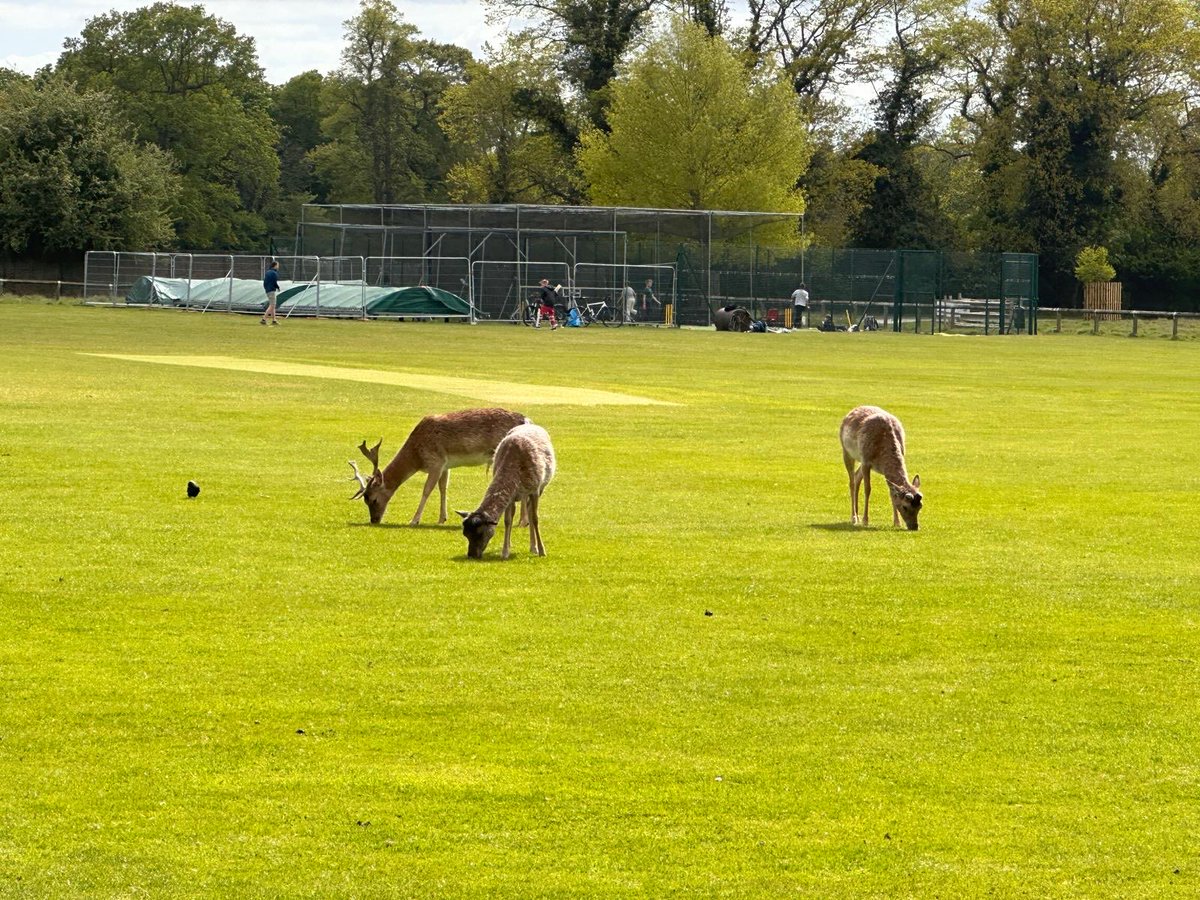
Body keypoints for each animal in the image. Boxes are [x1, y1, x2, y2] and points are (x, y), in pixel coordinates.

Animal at [350, 410, 530, 528]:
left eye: (373, 499)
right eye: (364, 499)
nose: (374, 520)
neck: (417, 456)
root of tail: (527, 420)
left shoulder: (435, 461)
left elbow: (427, 490)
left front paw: (414, 520)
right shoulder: (445, 465)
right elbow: (443, 488)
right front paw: (442, 518)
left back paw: (522, 522)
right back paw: (523, 521)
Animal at [456, 424, 554, 564]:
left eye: (480, 533)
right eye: (465, 533)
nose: (471, 555)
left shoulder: (535, 489)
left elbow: (535, 519)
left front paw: (542, 551)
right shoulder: (511, 497)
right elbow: (508, 521)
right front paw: (505, 551)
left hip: (540, 488)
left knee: (531, 513)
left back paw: (533, 547)